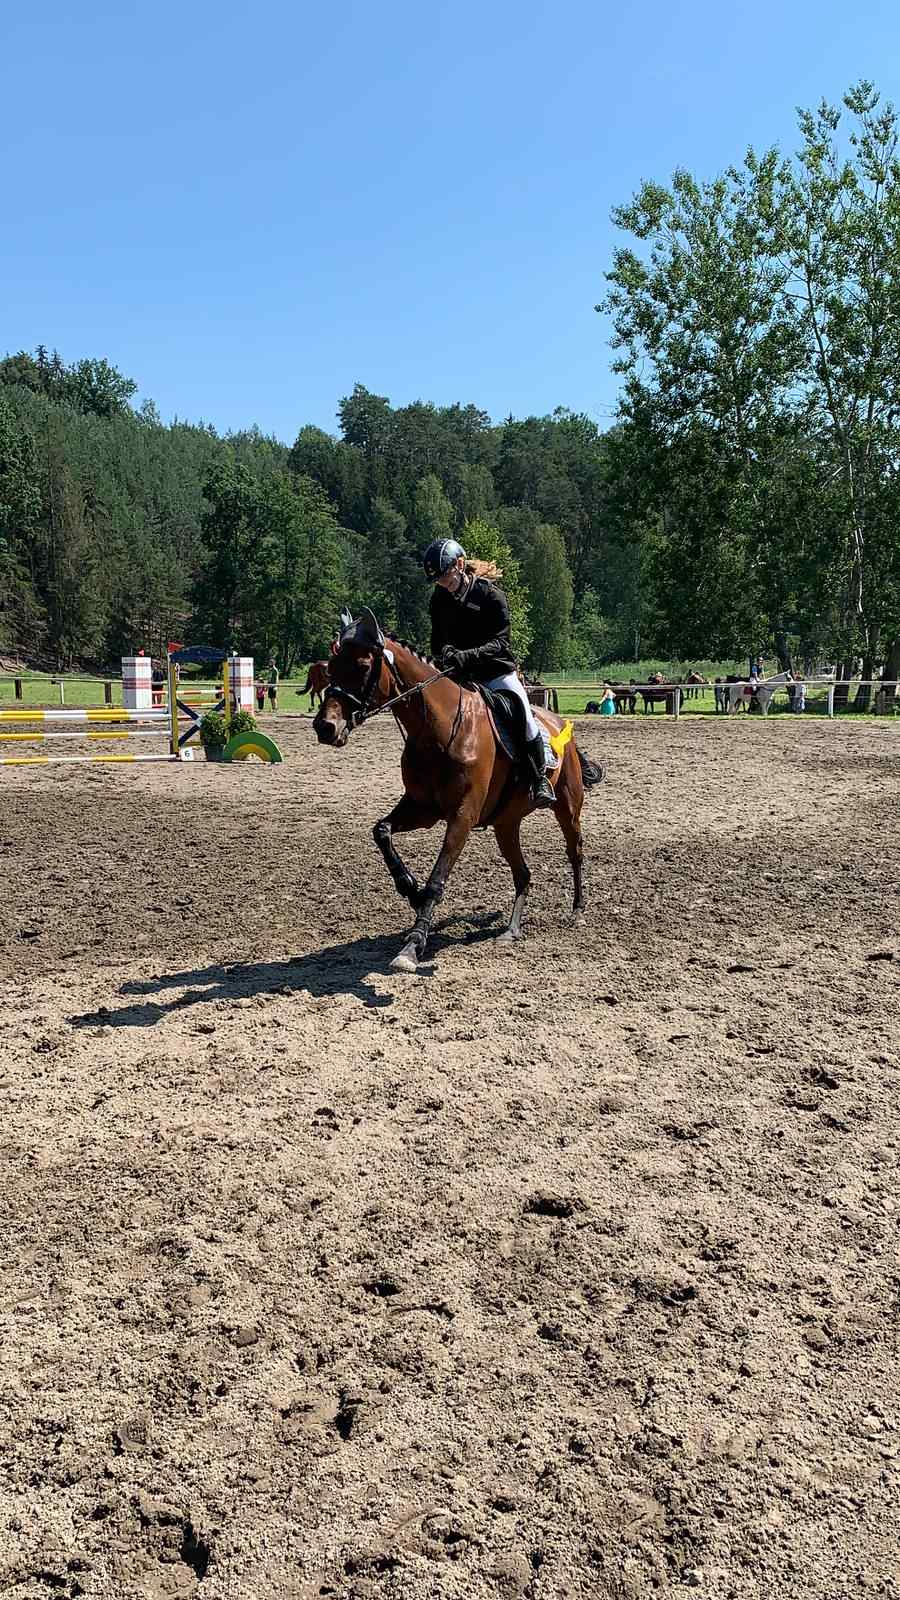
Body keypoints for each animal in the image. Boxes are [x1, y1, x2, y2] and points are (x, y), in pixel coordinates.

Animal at [310, 608, 602, 960]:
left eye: (363, 666)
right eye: (331, 666)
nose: (325, 727)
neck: (439, 727)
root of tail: (559, 723)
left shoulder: (462, 816)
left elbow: (438, 876)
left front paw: (414, 943)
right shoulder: (423, 808)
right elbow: (381, 831)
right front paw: (410, 889)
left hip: (567, 809)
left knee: (575, 853)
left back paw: (578, 912)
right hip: (506, 823)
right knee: (523, 873)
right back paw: (511, 930)